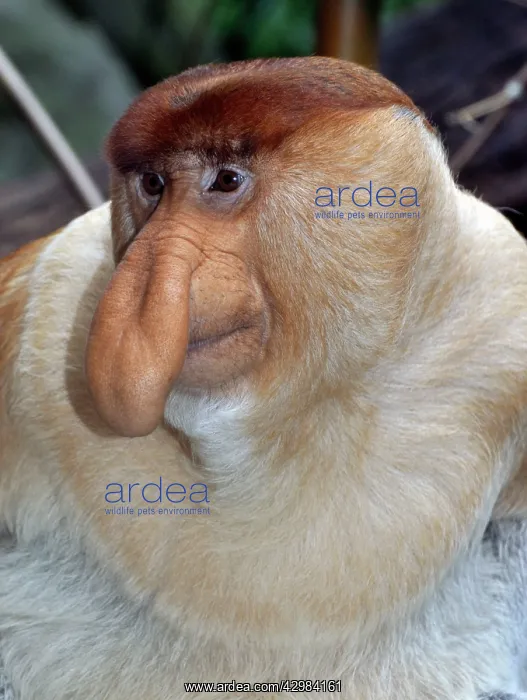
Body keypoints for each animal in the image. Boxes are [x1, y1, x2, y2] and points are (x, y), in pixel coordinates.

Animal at [1, 56, 527, 699]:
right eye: (153, 185)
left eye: (226, 180)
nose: (139, 292)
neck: (297, 421)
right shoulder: (43, 308)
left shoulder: (502, 317)